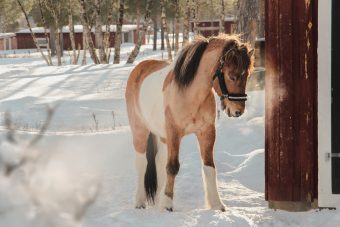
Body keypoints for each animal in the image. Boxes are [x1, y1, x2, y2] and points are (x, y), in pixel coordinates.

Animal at [126, 34, 254, 212]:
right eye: (232, 76)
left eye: (247, 75)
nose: (237, 111)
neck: (190, 94)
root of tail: (139, 68)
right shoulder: (174, 133)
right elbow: (172, 167)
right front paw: (168, 205)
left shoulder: (206, 133)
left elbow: (209, 168)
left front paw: (217, 205)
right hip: (140, 130)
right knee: (142, 163)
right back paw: (139, 202)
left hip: (162, 137)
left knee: (159, 161)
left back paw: (158, 200)